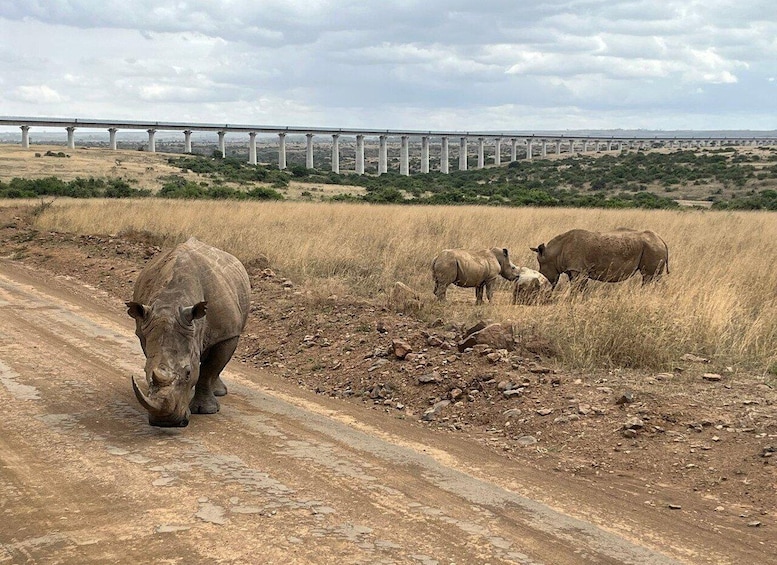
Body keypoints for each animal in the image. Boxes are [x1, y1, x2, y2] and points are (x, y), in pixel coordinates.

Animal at [126, 236, 250, 426]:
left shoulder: (227, 334)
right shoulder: (145, 329)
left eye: (188, 373)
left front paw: (206, 410)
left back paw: (219, 393)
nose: (165, 422)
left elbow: (209, 370)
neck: (172, 302)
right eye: (145, 371)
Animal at [532, 228, 668, 288]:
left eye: (542, 267)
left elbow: (578, 287)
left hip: (653, 248)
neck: (554, 252)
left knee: (648, 277)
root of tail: (661, 240)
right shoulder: (574, 269)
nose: (542, 283)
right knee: (651, 278)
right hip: (653, 247)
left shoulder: (579, 270)